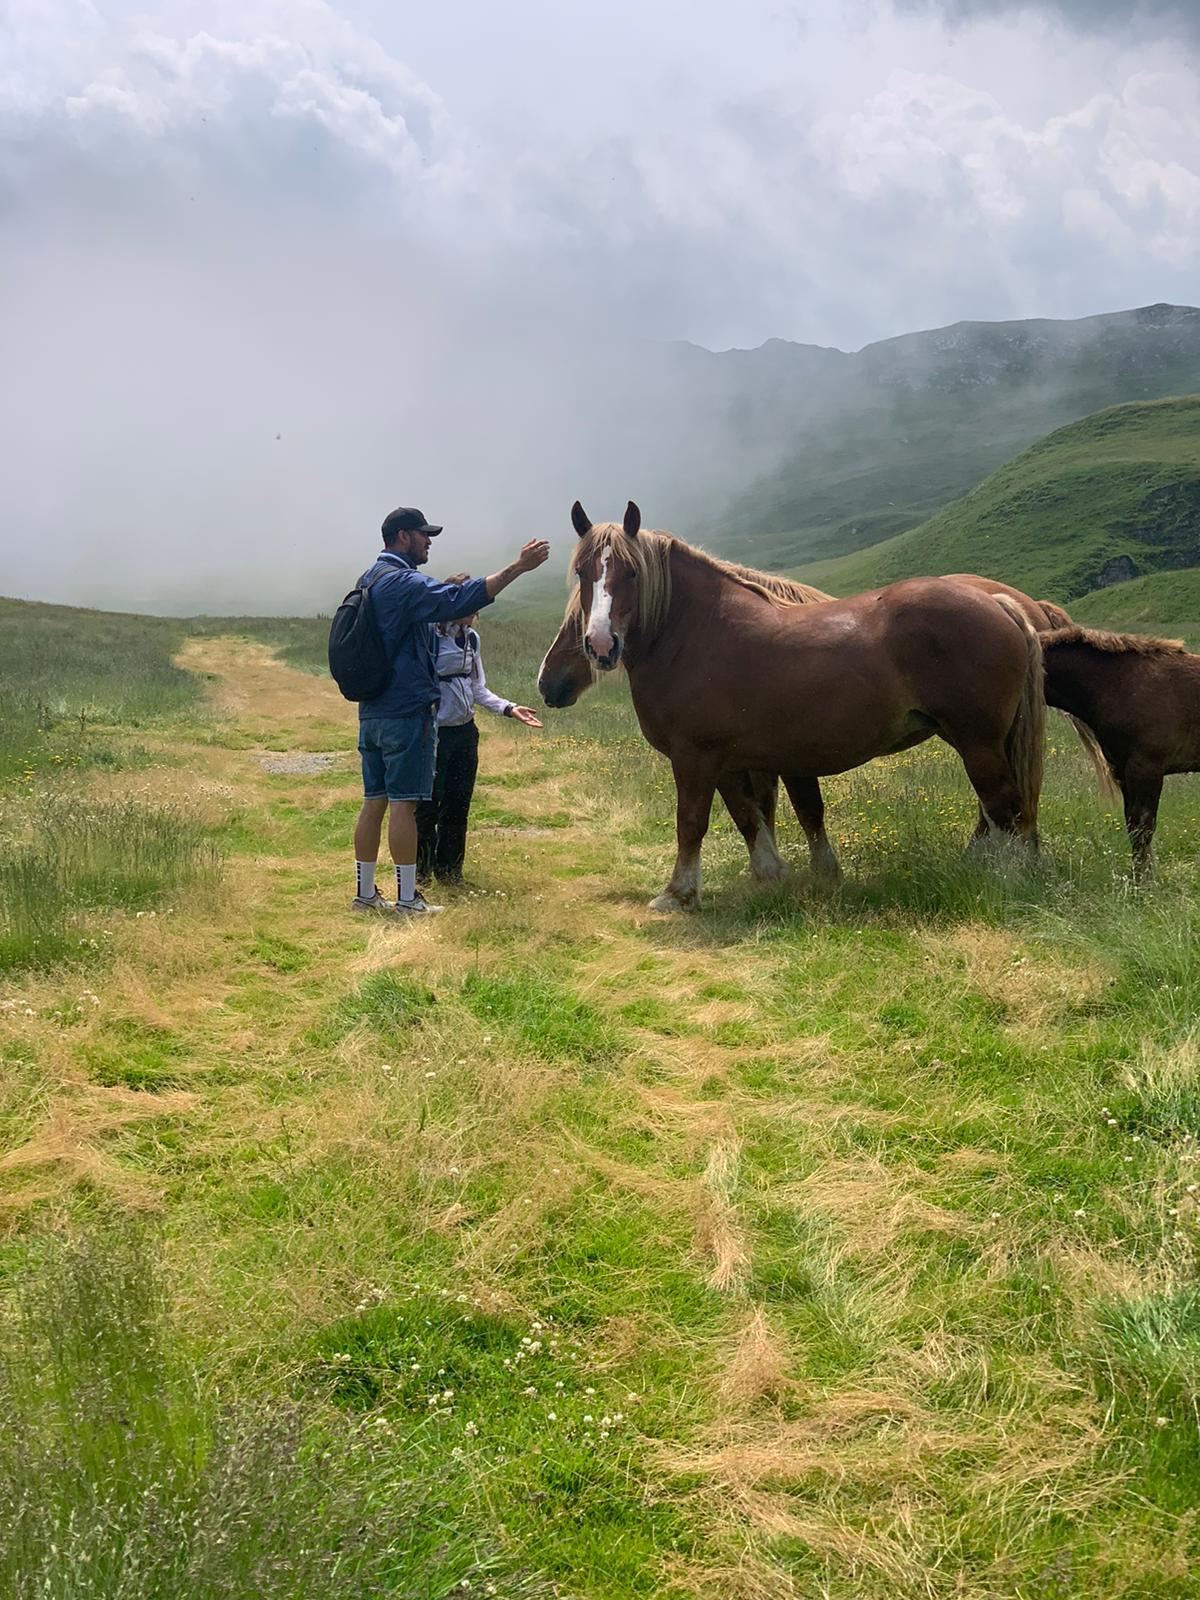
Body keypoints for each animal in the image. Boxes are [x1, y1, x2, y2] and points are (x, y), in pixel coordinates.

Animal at [540, 499, 1049, 908]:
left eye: (631, 572)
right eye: (584, 573)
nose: (600, 644)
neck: (696, 634)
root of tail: (999, 603)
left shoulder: (694, 756)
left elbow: (692, 822)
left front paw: (678, 893)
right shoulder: (731, 761)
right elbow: (750, 817)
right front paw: (772, 875)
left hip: (977, 742)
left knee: (1003, 806)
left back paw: (1007, 879)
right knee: (1000, 810)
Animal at [1043, 624, 1200, 876]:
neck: (1118, 683)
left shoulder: (1146, 768)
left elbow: (1143, 828)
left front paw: (1143, 880)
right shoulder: (1124, 771)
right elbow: (1133, 826)